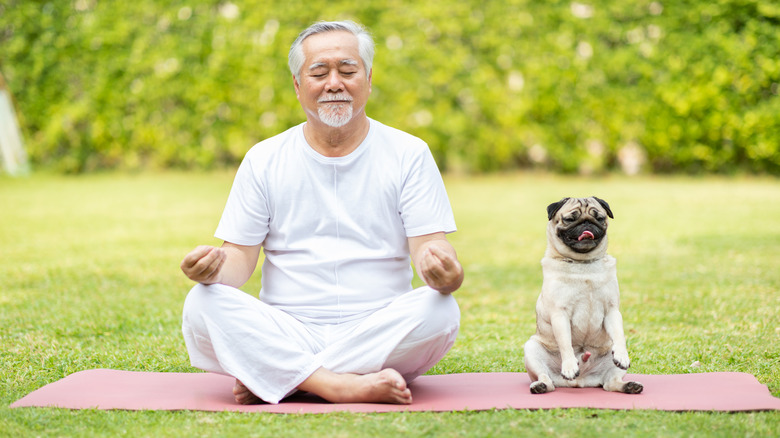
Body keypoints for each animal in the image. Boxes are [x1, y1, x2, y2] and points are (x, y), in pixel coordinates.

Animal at [524, 197, 640, 396]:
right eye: (570, 219)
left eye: (599, 218)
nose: (587, 223)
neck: (583, 264)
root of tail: (580, 382)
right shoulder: (559, 314)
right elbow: (565, 343)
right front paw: (570, 365)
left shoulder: (612, 311)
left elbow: (619, 335)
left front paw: (622, 355)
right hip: (531, 350)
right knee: (546, 379)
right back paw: (540, 386)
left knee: (610, 383)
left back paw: (629, 386)